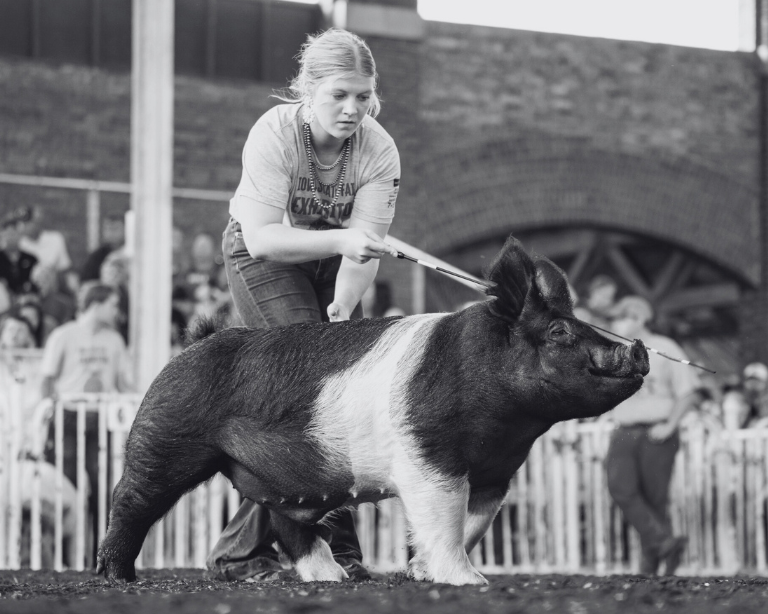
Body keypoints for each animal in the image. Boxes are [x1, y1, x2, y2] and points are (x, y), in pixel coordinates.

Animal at [97, 235, 649, 586]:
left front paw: (421, 573)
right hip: (165, 438)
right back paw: (118, 579)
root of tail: (195, 340)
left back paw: (334, 578)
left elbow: (472, 524)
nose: (639, 347)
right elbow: (443, 518)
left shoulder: (497, 473)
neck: (509, 427)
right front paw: (472, 583)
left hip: (280, 477)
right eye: (559, 332)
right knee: (129, 501)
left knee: (287, 522)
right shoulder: (429, 456)